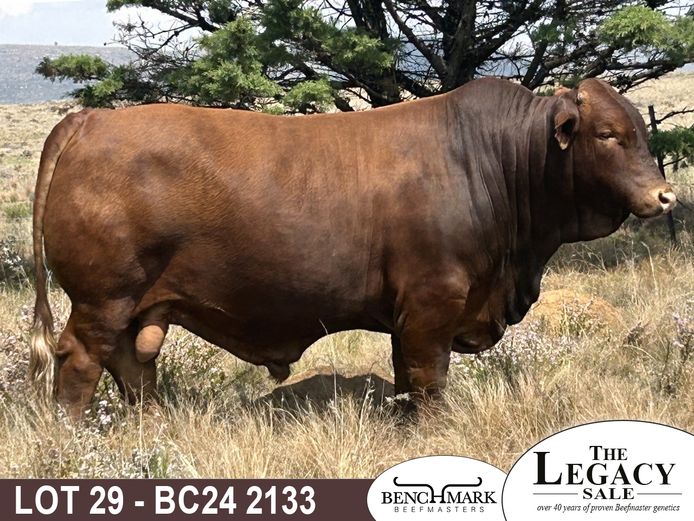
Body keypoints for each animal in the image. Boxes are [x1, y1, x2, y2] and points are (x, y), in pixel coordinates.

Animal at [29, 78, 676, 418]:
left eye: (640, 131)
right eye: (608, 135)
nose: (665, 195)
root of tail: (91, 120)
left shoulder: (410, 312)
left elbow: (407, 376)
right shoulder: (433, 302)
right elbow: (427, 377)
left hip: (134, 303)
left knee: (131, 364)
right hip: (103, 297)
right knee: (81, 361)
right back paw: (72, 433)